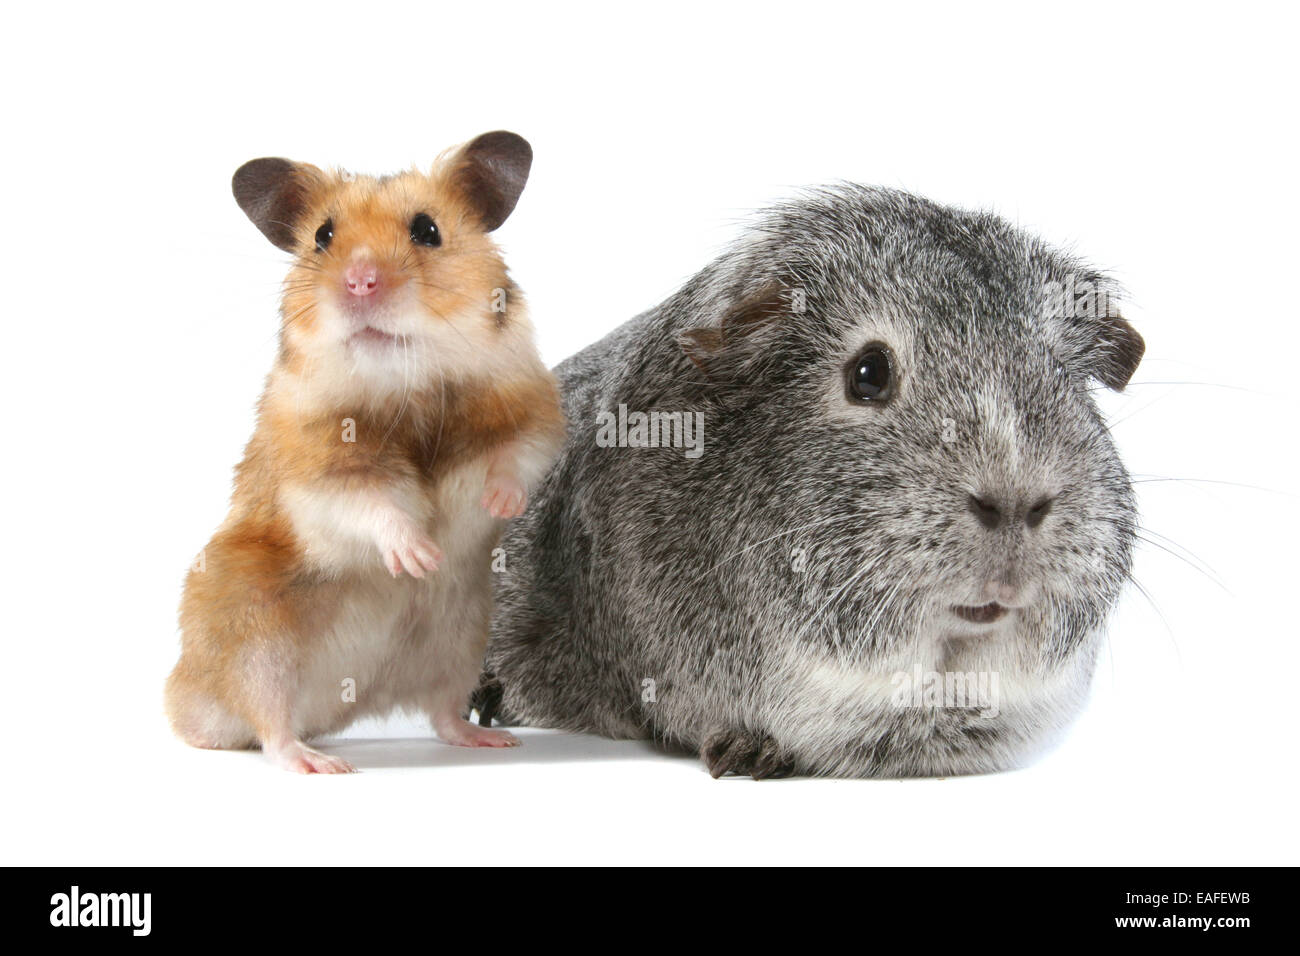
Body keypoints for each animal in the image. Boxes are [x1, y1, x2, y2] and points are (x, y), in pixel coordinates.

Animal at [166, 128, 564, 770]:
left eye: (427, 229)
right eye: (323, 236)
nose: (360, 282)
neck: (405, 385)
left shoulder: (530, 413)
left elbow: (513, 456)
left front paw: (497, 506)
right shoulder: (317, 469)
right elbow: (371, 503)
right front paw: (419, 556)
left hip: (461, 638)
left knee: (442, 712)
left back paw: (491, 738)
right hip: (257, 641)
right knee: (269, 724)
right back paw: (318, 761)